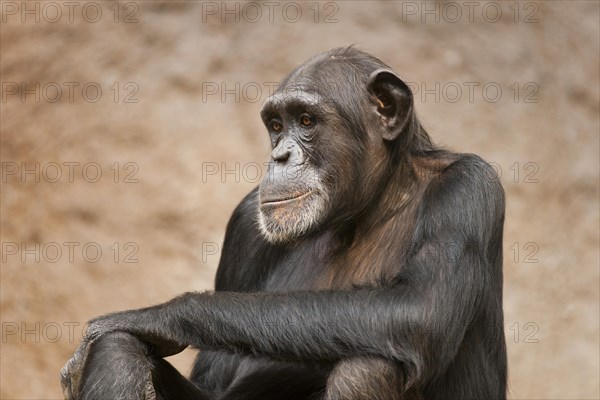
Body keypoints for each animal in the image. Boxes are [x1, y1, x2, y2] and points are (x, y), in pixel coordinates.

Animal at [59, 47, 506, 400]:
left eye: (306, 121)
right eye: (276, 126)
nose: (280, 156)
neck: (362, 210)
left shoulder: (467, 188)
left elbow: (421, 308)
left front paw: (158, 316)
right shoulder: (243, 226)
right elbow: (211, 380)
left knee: (367, 367)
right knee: (118, 349)